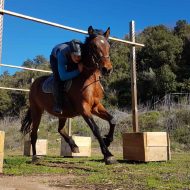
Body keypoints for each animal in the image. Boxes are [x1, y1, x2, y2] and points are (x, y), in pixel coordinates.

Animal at [20, 25, 116, 165]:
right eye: (94, 46)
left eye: (108, 46)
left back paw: (73, 146)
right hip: (37, 110)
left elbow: (112, 120)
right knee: (34, 134)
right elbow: (96, 129)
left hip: (63, 114)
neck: (88, 78)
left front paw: (108, 140)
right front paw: (108, 155)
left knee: (60, 129)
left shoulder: (96, 106)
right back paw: (35, 157)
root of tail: (34, 83)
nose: (107, 69)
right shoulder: (84, 109)